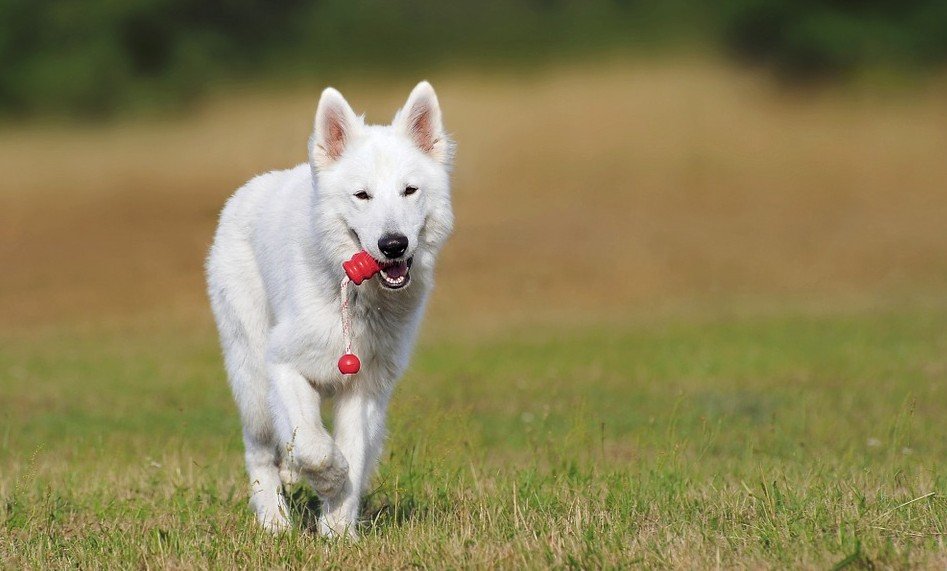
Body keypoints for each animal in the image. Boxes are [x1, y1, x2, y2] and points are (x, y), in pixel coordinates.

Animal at [206, 82, 456, 540]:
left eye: (409, 191)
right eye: (362, 195)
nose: (393, 245)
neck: (356, 298)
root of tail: (248, 190)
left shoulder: (364, 388)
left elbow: (353, 453)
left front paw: (338, 530)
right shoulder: (283, 365)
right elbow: (315, 446)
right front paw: (328, 480)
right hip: (252, 378)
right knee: (260, 451)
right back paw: (274, 521)